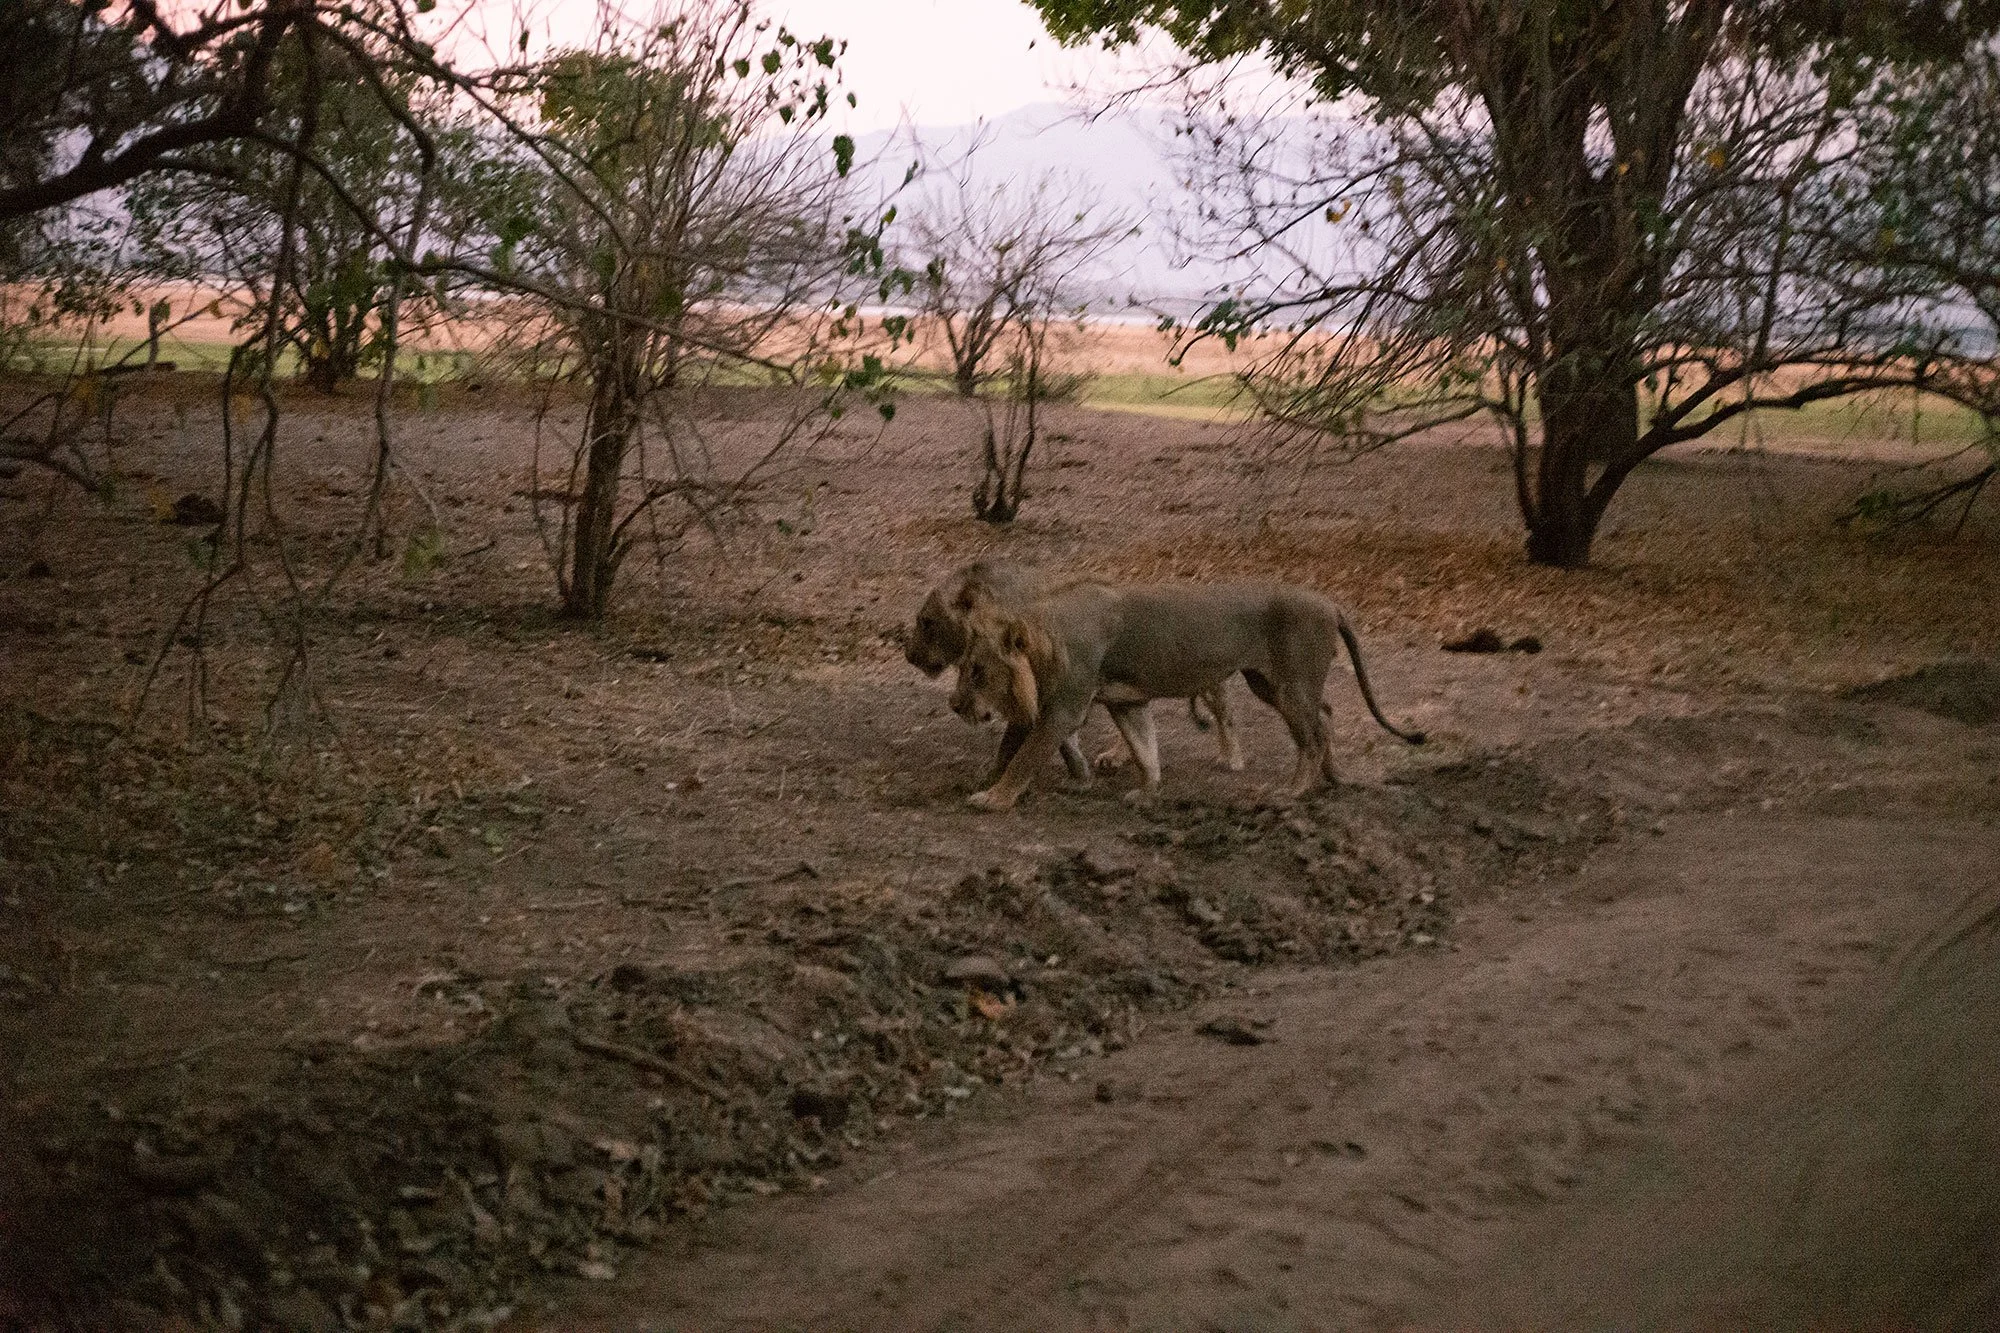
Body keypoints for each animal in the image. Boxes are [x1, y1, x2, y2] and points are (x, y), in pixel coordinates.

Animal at [905, 561, 1238, 783]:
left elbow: (1023, 739)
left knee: (1225, 708)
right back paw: (1116, 757)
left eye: (926, 622)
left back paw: (1231, 757)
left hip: (1205, 672)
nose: (909, 655)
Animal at [948, 580, 1426, 810]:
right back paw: (1331, 778)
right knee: (1325, 717)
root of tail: (1332, 603)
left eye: (977, 671)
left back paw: (1293, 790)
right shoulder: (1126, 702)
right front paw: (1147, 793)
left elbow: (1023, 755)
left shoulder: (1064, 710)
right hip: (1269, 684)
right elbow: (1145, 750)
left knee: (1312, 735)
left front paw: (993, 798)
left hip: (1291, 685)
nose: (954, 705)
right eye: (962, 667)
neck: (1048, 639)